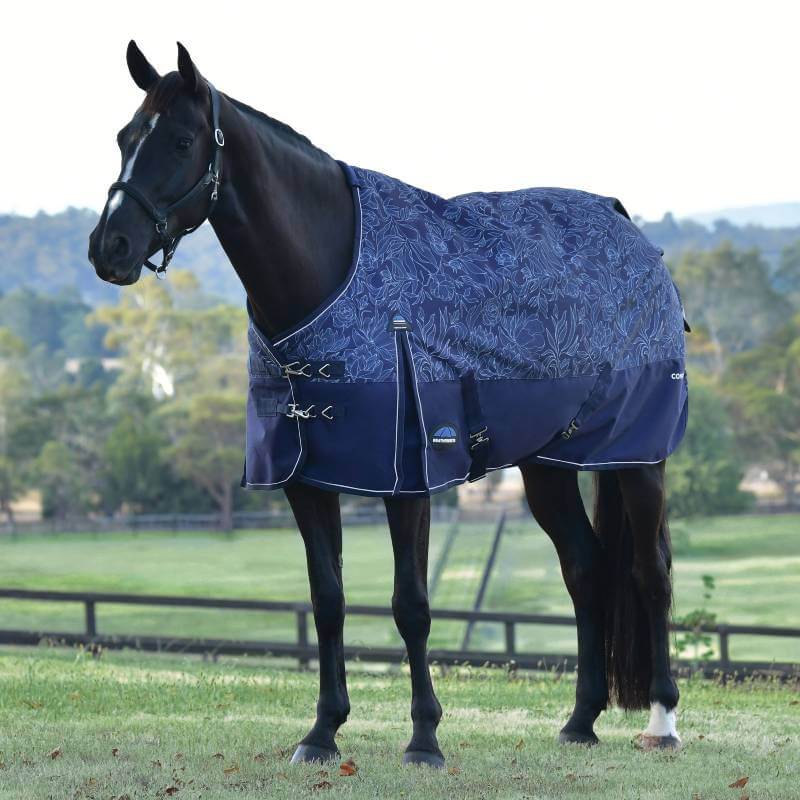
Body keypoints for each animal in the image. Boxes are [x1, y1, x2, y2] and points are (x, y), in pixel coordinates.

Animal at [88, 41, 685, 767]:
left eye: (179, 140)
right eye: (124, 138)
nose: (109, 248)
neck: (329, 274)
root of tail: (630, 228)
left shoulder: (408, 482)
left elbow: (412, 606)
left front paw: (424, 738)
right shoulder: (308, 479)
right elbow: (329, 600)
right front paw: (322, 731)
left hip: (638, 457)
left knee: (650, 572)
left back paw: (661, 721)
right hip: (548, 466)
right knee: (586, 568)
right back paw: (580, 720)